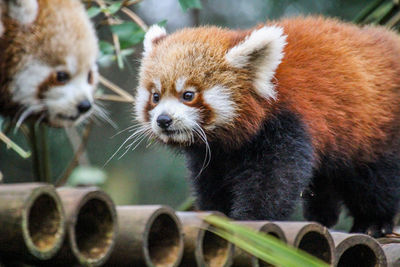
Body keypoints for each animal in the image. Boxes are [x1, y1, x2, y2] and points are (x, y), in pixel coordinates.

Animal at [134, 15, 400, 238]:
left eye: (188, 95)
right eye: (155, 96)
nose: (163, 120)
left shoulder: (286, 124)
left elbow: (274, 181)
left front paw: (251, 219)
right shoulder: (214, 155)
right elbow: (212, 184)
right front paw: (218, 215)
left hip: (376, 128)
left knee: (374, 179)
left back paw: (373, 222)